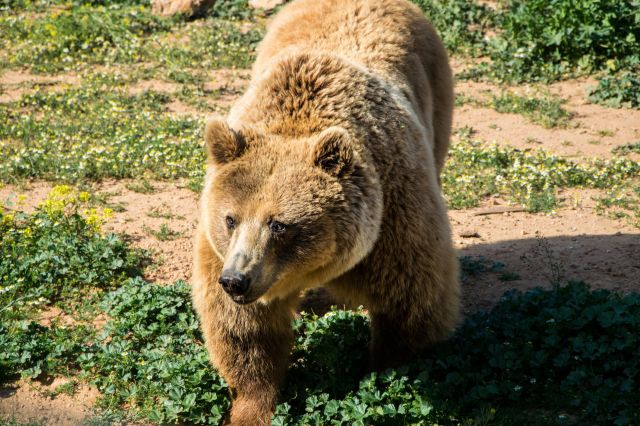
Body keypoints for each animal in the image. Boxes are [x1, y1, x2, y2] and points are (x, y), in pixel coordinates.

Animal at [191, 0, 460, 423]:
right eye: (230, 219)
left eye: (279, 224)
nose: (236, 280)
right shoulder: (218, 251)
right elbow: (244, 332)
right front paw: (251, 405)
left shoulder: (392, 216)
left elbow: (410, 298)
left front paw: (381, 370)